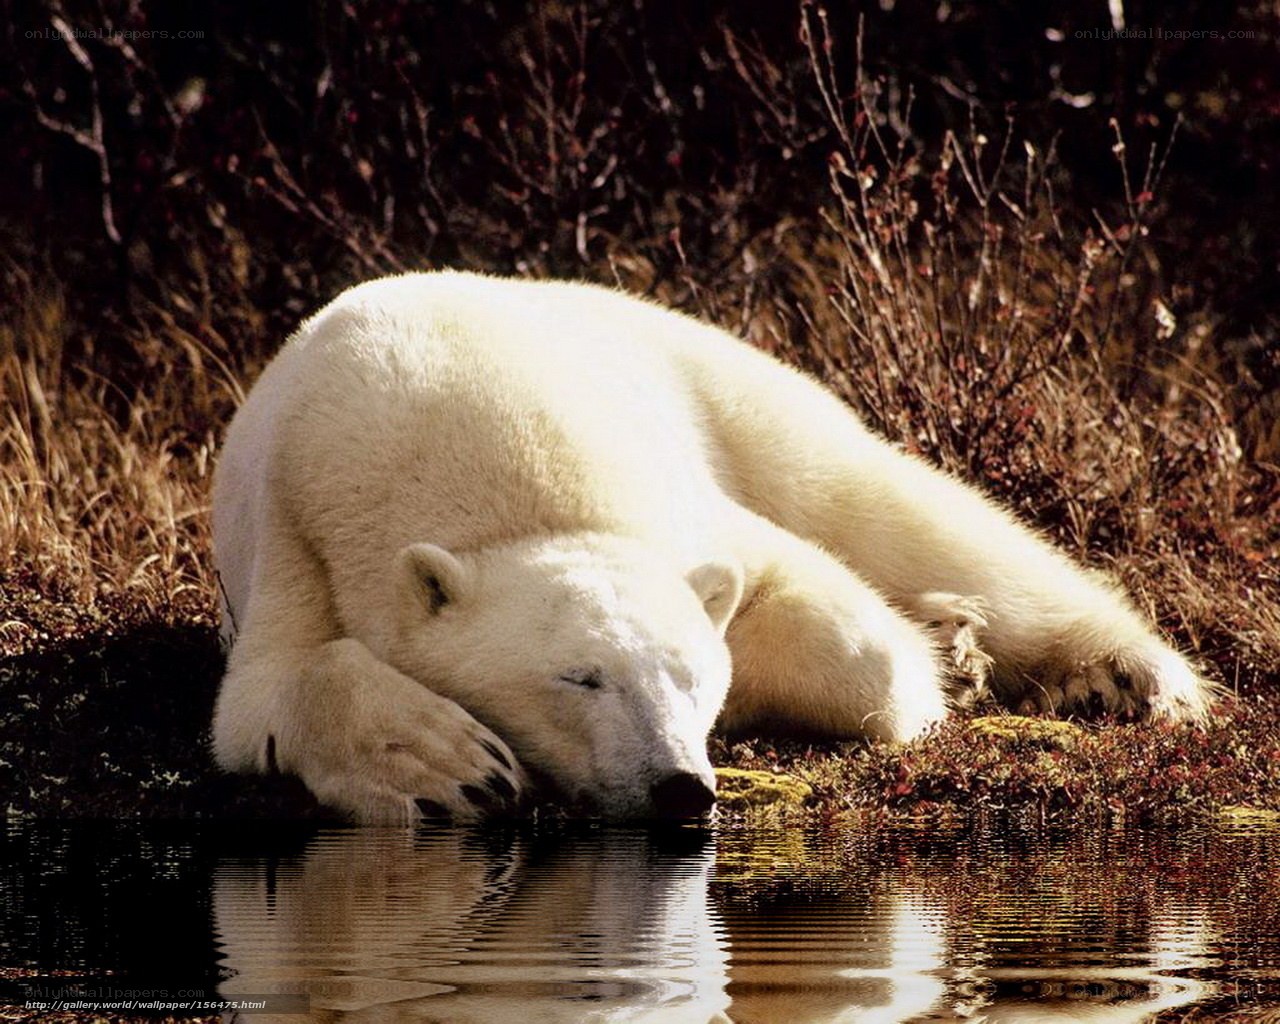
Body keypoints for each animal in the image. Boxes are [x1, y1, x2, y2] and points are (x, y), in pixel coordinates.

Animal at [211, 270, 1213, 823]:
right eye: (579, 678)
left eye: (691, 674)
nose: (678, 787)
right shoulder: (307, 529)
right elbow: (267, 692)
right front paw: (452, 765)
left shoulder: (677, 498)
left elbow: (835, 623)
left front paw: (932, 667)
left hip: (724, 384)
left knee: (892, 507)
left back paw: (1124, 674)